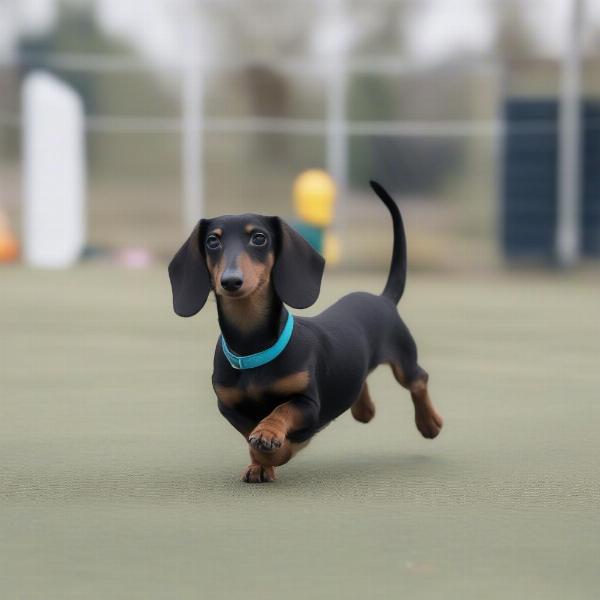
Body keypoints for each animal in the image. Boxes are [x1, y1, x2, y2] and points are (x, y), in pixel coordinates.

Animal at [168, 180, 440, 480]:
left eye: (259, 238)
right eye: (212, 241)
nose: (230, 280)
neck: (253, 348)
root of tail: (384, 298)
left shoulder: (308, 404)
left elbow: (281, 411)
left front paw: (271, 441)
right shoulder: (228, 406)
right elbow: (248, 433)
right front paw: (259, 463)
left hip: (404, 358)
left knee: (419, 379)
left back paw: (429, 422)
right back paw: (364, 409)